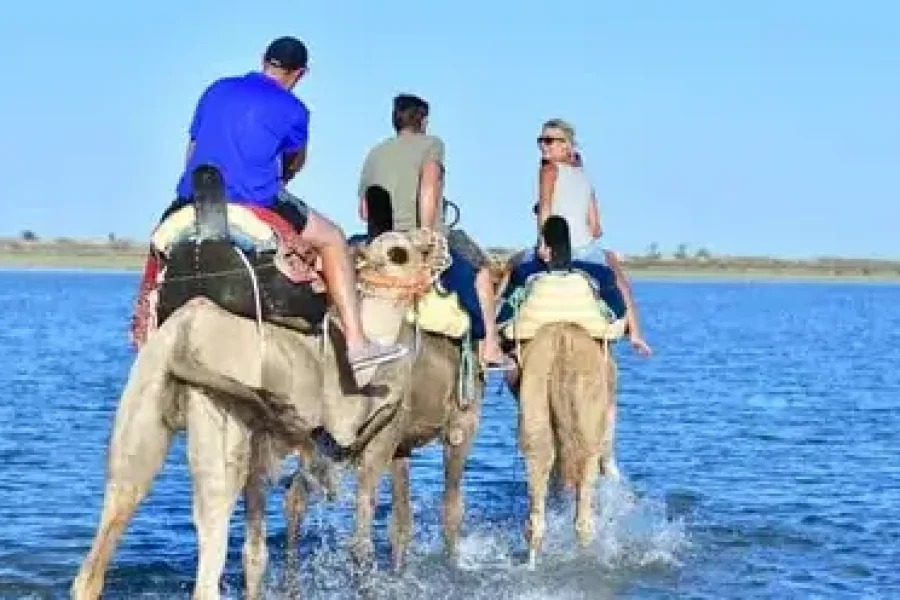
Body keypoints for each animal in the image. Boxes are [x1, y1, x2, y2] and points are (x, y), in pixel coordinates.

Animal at [69, 166, 443, 600]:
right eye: (398, 252)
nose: (435, 243)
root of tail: (184, 334)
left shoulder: (261, 451)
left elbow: (255, 554)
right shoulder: (342, 422)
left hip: (141, 416)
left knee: (102, 542)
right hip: (218, 421)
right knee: (208, 559)